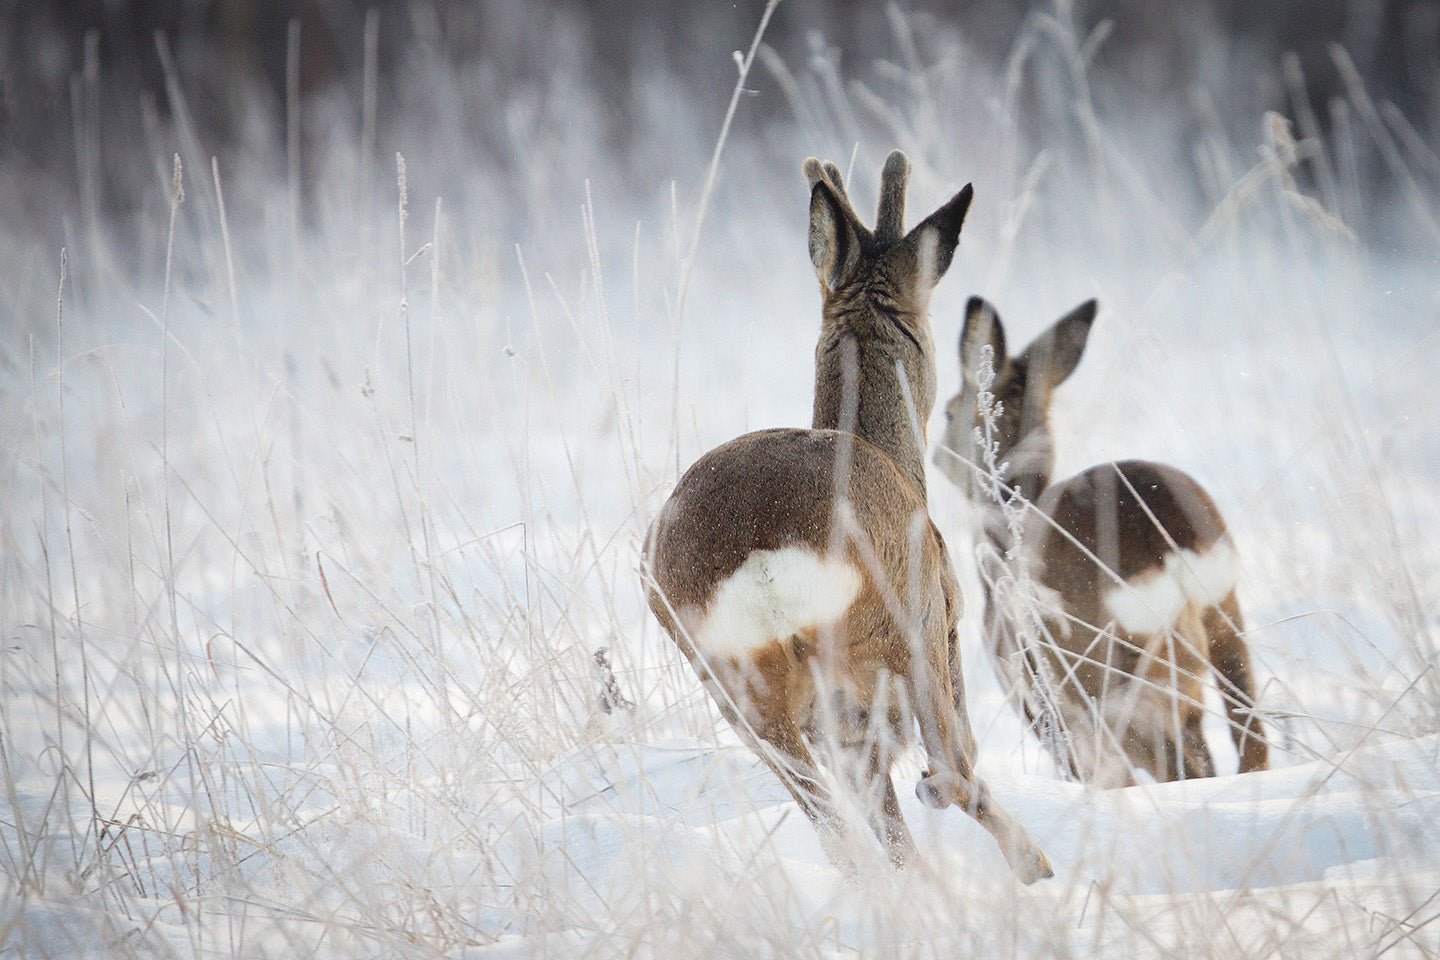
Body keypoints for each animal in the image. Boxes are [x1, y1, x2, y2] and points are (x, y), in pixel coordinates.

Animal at [648, 154, 1054, 880]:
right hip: (904, 621)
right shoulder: (946, 614)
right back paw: (1022, 856)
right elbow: (959, 753)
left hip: (737, 685)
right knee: (953, 767)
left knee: (842, 834)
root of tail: (762, 548)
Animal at [933, 297, 1261, 788]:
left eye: (950, 411)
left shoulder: (1043, 704)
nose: (936, 455)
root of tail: (1168, 546)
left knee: (1186, 764)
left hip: (1107, 675)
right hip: (1224, 618)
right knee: (1250, 741)